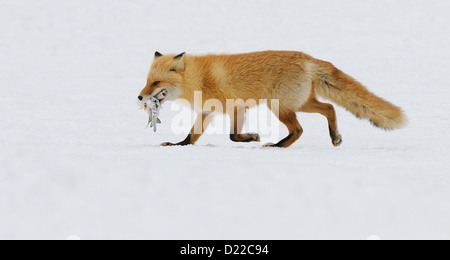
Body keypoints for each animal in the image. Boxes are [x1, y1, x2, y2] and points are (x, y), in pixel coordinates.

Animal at [136, 50, 404, 148]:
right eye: (148, 80)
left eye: (156, 83)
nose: (139, 96)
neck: (199, 79)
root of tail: (308, 58)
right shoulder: (217, 110)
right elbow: (196, 135)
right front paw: (178, 145)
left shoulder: (232, 106)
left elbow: (231, 135)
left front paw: (253, 138)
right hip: (300, 103)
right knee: (329, 107)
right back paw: (334, 137)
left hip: (280, 107)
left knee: (299, 130)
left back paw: (277, 146)